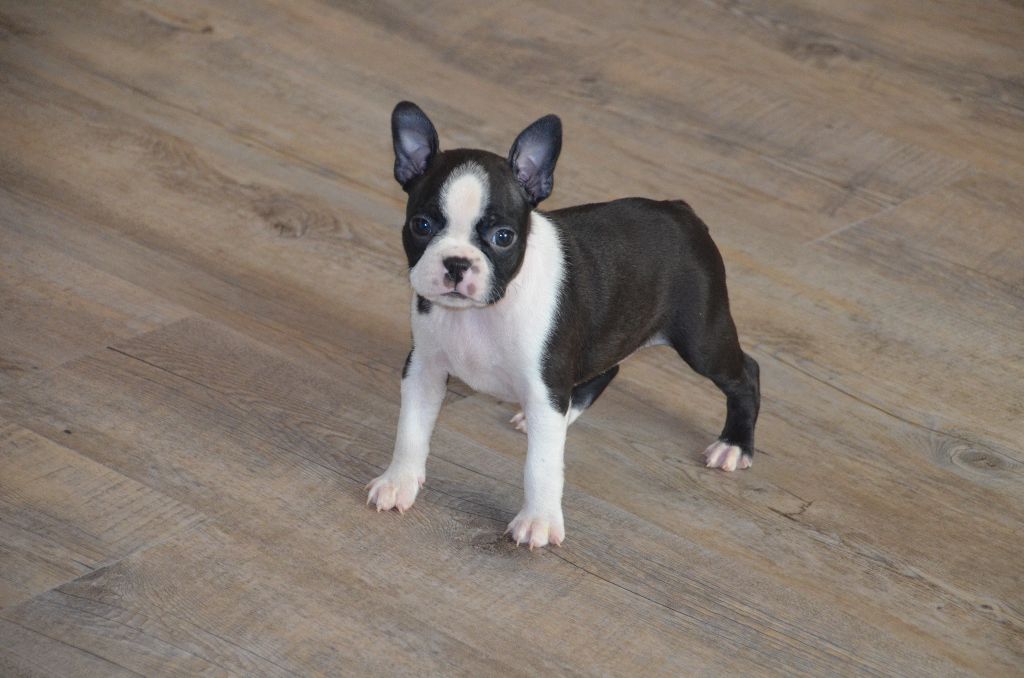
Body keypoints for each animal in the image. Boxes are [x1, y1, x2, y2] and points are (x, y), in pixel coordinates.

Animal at [367, 102, 760, 549]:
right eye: (422, 226)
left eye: (503, 237)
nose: (456, 263)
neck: (484, 312)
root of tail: (680, 209)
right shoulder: (424, 369)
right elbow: (411, 429)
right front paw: (399, 481)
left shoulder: (544, 386)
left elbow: (540, 465)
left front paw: (538, 519)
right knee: (605, 371)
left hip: (702, 337)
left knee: (746, 372)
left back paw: (735, 445)